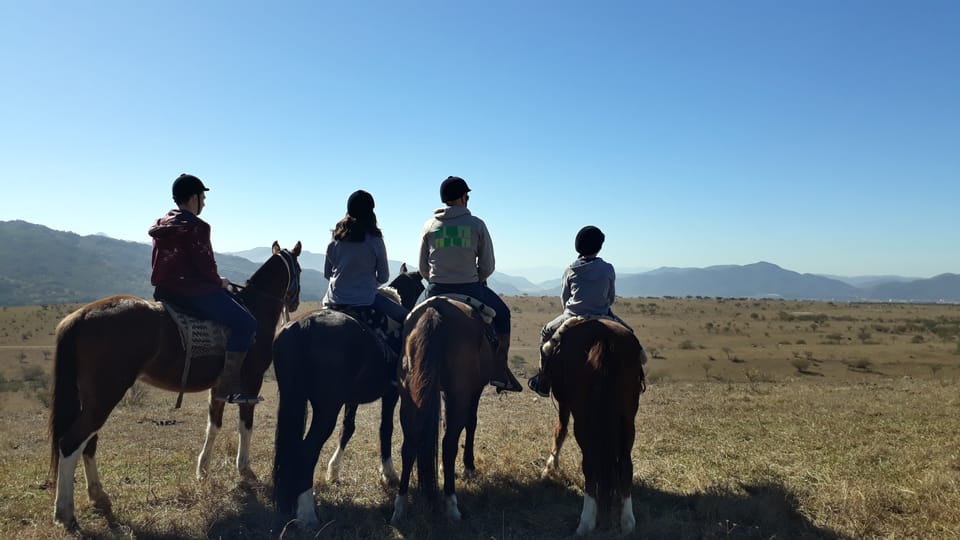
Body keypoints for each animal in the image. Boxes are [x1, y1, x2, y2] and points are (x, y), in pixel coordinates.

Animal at [48, 240, 302, 528]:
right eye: (299, 270)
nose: (295, 302)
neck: (255, 309)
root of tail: (79, 316)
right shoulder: (250, 384)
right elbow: (245, 426)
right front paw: (244, 469)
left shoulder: (219, 389)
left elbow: (213, 427)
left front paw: (202, 471)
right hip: (105, 395)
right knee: (71, 442)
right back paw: (64, 511)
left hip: (93, 399)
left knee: (88, 442)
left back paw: (98, 496)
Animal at [268, 266, 422, 524]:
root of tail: (303, 326)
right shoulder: (391, 393)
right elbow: (385, 429)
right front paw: (388, 473)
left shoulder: (351, 400)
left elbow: (347, 428)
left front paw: (334, 471)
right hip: (326, 409)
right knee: (306, 452)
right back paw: (307, 513)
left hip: (292, 398)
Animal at [390, 296, 498, 524]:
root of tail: (435, 312)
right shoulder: (474, 390)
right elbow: (471, 423)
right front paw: (468, 466)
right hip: (459, 394)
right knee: (449, 445)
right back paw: (451, 505)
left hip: (408, 396)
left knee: (409, 445)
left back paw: (400, 506)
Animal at [540, 318, 644, 532]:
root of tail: (604, 340)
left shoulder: (564, 402)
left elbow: (560, 430)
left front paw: (550, 467)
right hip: (627, 418)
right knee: (626, 464)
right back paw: (627, 521)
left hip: (583, 419)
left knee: (589, 465)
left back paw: (586, 521)